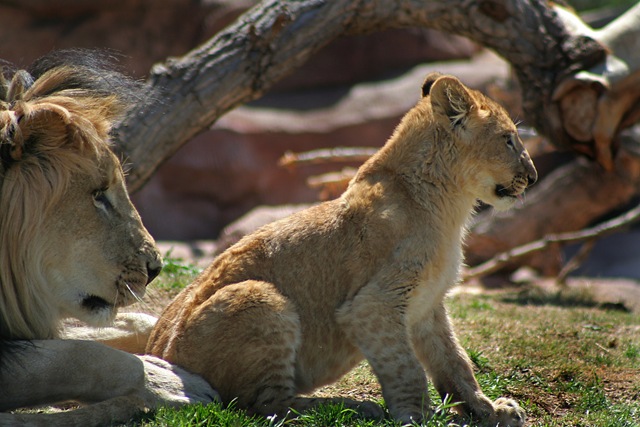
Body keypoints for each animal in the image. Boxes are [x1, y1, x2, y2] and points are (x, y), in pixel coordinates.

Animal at [147, 73, 537, 426]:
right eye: (508, 139)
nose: (533, 177)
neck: (450, 203)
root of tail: (163, 357)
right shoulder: (373, 303)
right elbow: (408, 368)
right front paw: (420, 416)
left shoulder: (427, 304)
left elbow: (454, 362)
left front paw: (489, 410)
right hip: (260, 298)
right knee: (268, 406)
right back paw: (350, 407)